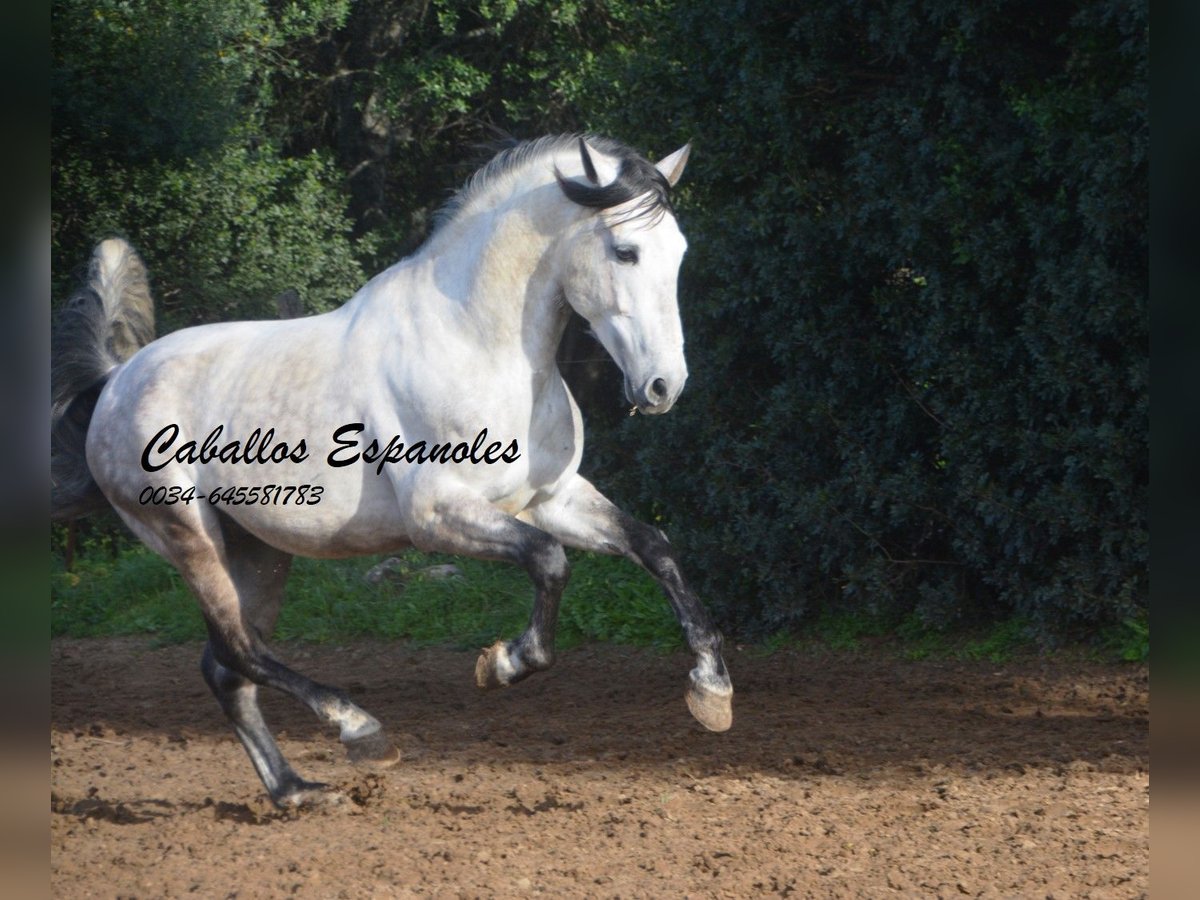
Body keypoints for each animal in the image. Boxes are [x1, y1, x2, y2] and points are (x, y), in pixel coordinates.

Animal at [51, 135, 729, 811]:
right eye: (625, 250)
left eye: (679, 253)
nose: (664, 386)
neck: (479, 347)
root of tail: (117, 380)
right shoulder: (437, 515)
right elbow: (549, 561)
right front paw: (503, 664)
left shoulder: (552, 498)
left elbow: (652, 546)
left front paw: (711, 690)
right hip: (189, 535)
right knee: (242, 650)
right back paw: (359, 730)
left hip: (258, 550)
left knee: (227, 668)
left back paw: (296, 791)